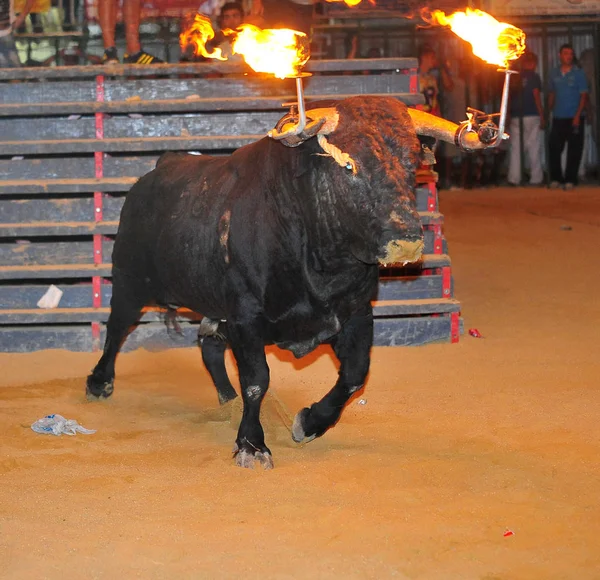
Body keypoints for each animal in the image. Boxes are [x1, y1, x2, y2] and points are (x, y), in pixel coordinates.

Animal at [88, 95, 426, 466]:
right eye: (349, 165)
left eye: (413, 165)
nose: (406, 240)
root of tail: (158, 170)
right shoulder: (246, 319)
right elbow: (256, 380)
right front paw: (252, 444)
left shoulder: (357, 315)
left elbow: (354, 375)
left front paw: (310, 423)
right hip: (129, 282)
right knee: (117, 328)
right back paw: (99, 383)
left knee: (209, 345)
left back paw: (227, 397)